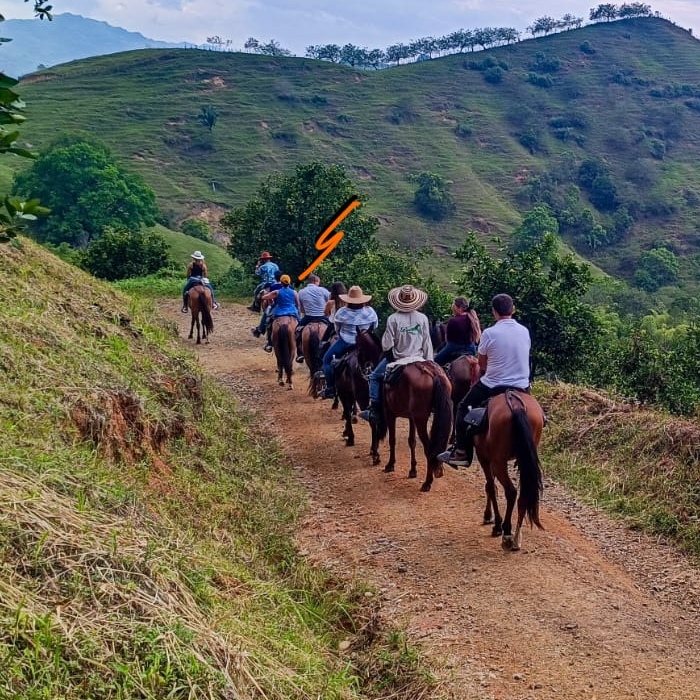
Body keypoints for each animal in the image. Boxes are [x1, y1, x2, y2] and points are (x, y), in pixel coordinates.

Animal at [378, 360, 454, 492]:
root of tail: (432, 371)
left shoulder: (389, 413)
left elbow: (392, 440)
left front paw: (390, 464)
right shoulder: (411, 418)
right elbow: (412, 442)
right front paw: (413, 470)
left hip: (420, 420)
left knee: (429, 448)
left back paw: (427, 482)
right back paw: (437, 470)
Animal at [476, 392, 548, 548]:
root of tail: (516, 404)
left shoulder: (484, 458)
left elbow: (491, 487)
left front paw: (495, 523)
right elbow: (490, 486)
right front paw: (489, 516)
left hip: (499, 462)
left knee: (511, 491)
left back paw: (507, 532)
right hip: (524, 459)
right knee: (523, 495)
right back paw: (516, 538)